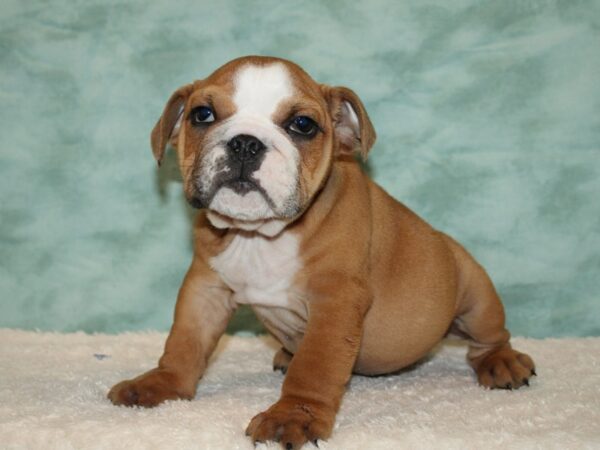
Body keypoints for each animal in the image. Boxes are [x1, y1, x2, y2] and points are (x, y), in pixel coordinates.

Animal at [108, 56, 536, 450]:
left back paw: (502, 362)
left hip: (475, 293)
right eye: (202, 114)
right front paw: (161, 384)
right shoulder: (205, 289)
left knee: (489, 337)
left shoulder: (336, 301)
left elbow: (315, 367)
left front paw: (292, 416)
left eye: (303, 125)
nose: (245, 142)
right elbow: (185, 342)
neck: (258, 236)